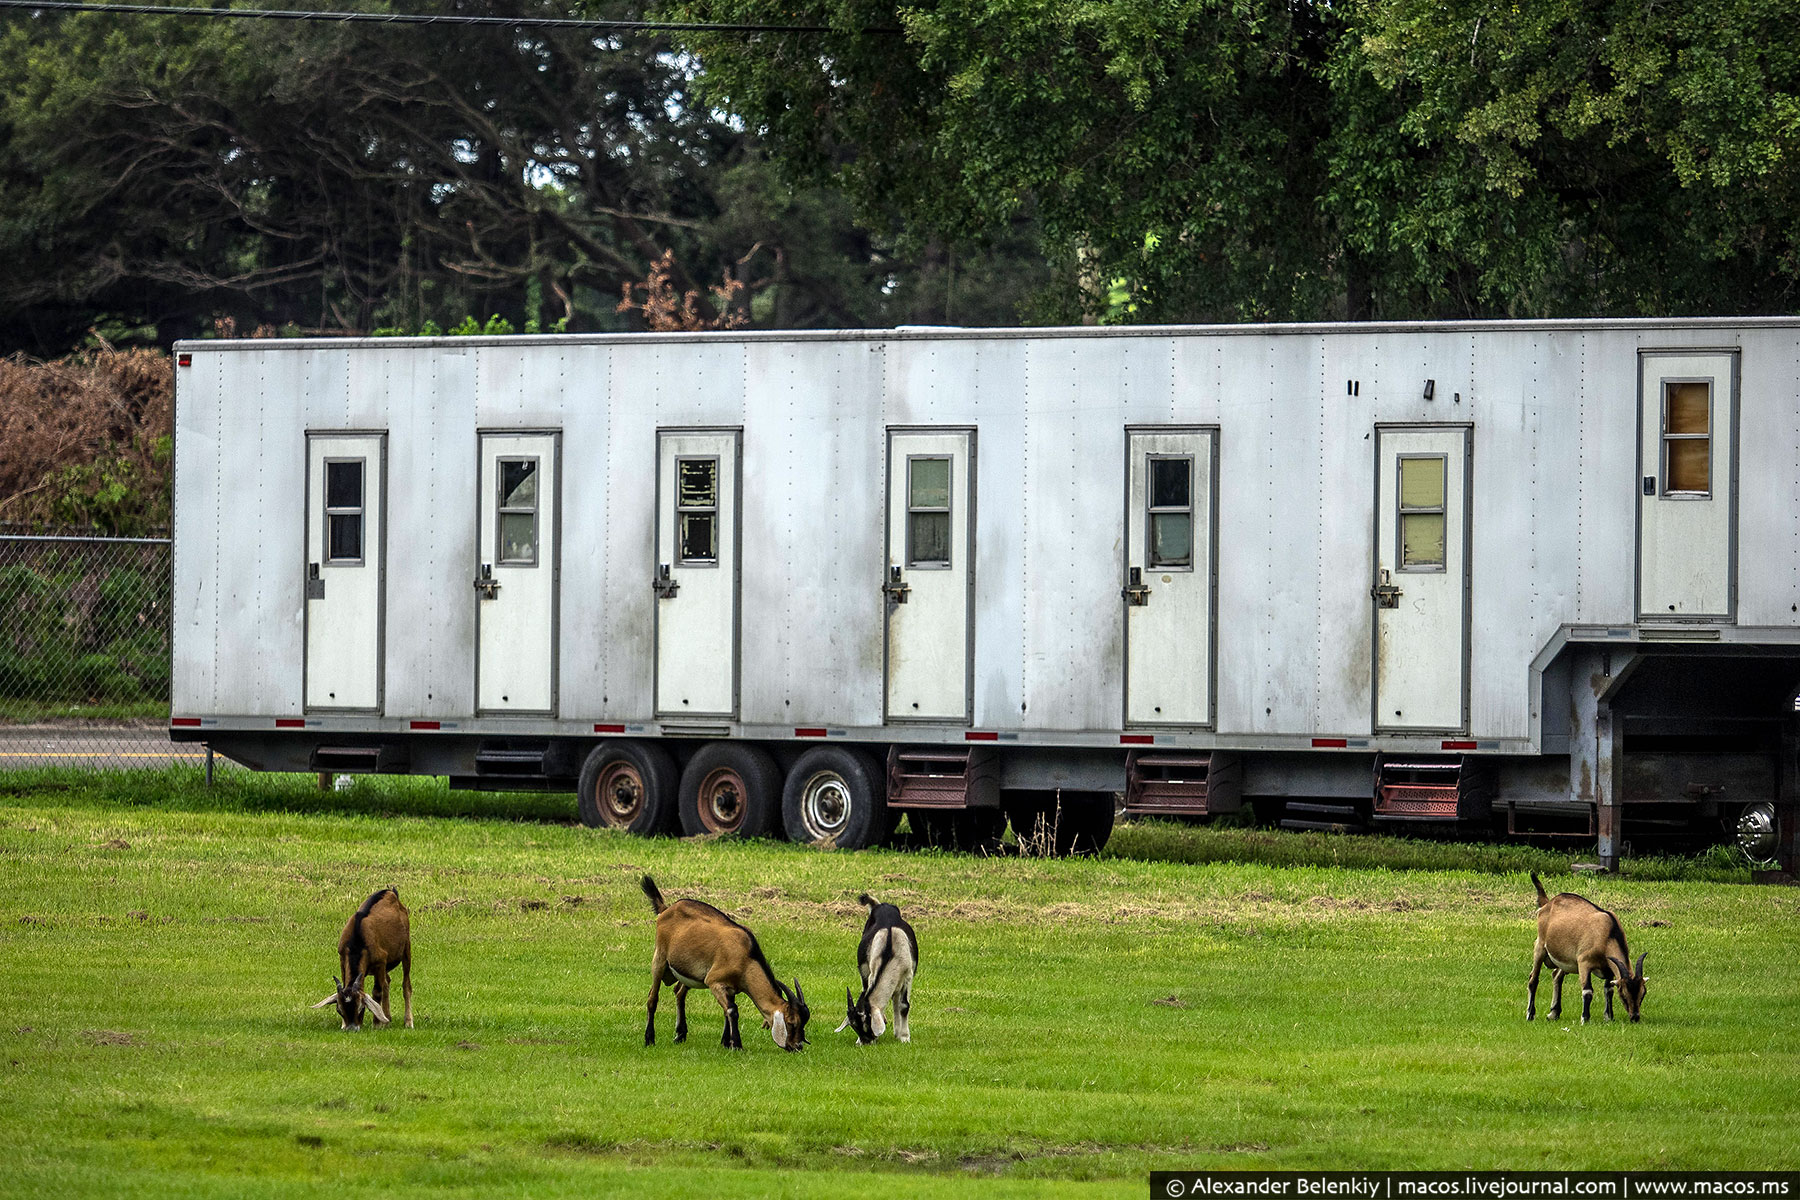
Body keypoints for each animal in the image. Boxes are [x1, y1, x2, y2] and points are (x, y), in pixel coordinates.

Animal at [309, 892, 412, 1036]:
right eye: (339, 1009)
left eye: (360, 1007)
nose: (351, 1028)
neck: (357, 941)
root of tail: (391, 893)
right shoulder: (342, 958)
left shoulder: (380, 961)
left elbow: (377, 992)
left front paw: (376, 1024)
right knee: (387, 982)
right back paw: (388, 1019)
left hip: (406, 947)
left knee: (406, 984)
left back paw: (408, 1022)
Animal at [640, 874, 810, 1050]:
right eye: (791, 1022)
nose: (797, 1046)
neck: (746, 958)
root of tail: (665, 909)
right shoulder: (714, 981)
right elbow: (732, 1010)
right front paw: (736, 1044)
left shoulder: (731, 988)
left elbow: (727, 1010)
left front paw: (726, 1042)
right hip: (659, 959)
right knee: (652, 998)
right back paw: (649, 1039)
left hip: (688, 972)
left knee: (679, 992)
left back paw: (680, 1034)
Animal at [831, 892, 914, 1043]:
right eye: (853, 1026)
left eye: (866, 1022)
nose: (865, 1042)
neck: (890, 950)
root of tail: (881, 905)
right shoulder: (871, 973)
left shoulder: (908, 975)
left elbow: (904, 1005)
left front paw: (904, 1037)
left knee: (896, 1000)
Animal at [1519, 867, 1648, 1029]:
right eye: (1624, 995)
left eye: (1643, 994)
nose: (1635, 1017)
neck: (1608, 934)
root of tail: (1547, 904)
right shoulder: (1584, 962)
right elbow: (1587, 991)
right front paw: (1585, 1018)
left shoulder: (1609, 968)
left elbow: (1608, 990)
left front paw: (1609, 1017)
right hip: (1540, 947)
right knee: (1533, 979)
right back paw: (1530, 1014)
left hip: (1566, 959)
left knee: (1556, 975)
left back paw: (1553, 1013)